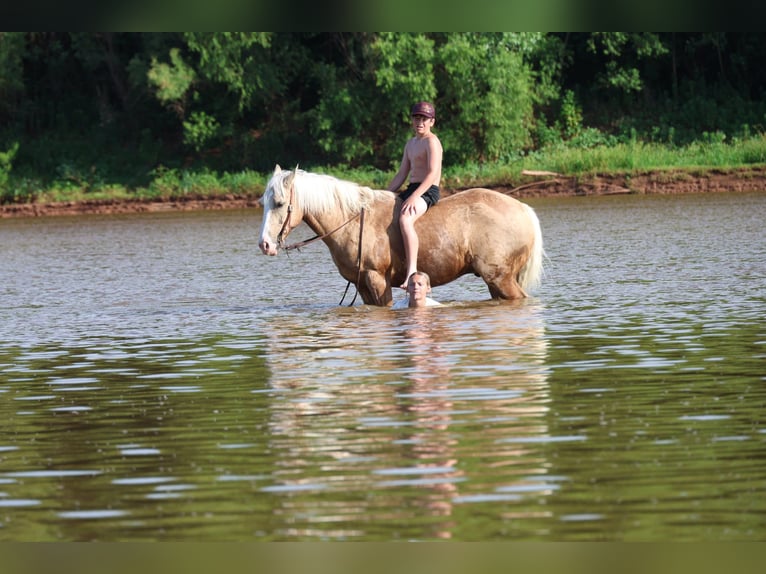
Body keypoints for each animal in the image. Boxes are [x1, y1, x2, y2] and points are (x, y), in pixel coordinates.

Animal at [258, 165, 544, 306]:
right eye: (263, 202)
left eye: (280, 203)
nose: (265, 245)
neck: (352, 221)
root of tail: (524, 209)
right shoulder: (362, 286)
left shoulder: (377, 280)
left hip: (500, 278)